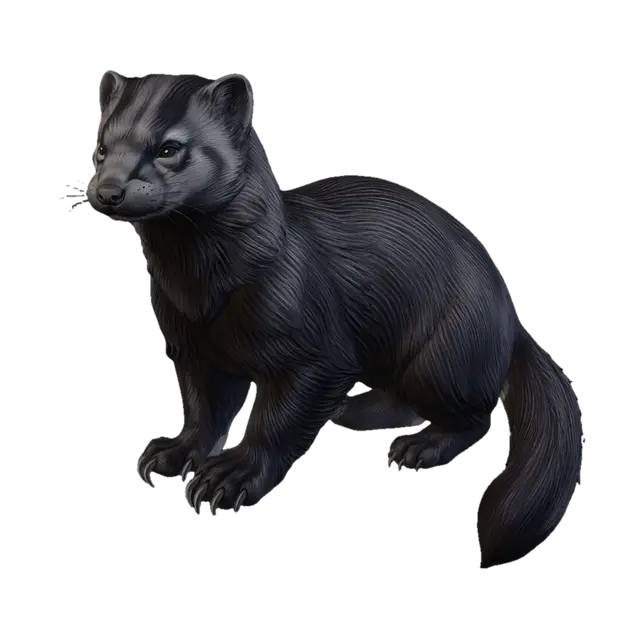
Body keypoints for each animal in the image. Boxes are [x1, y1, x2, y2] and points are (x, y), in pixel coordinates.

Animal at [87, 70, 583, 567]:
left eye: (170, 147)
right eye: (102, 146)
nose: (108, 190)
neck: (204, 299)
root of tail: (512, 321)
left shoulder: (314, 350)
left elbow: (279, 419)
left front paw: (231, 476)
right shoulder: (190, 346)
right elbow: (202, 409)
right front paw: (169, 453)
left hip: (445, 353)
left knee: (473, 415)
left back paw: (417, 447)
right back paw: (357, 410)